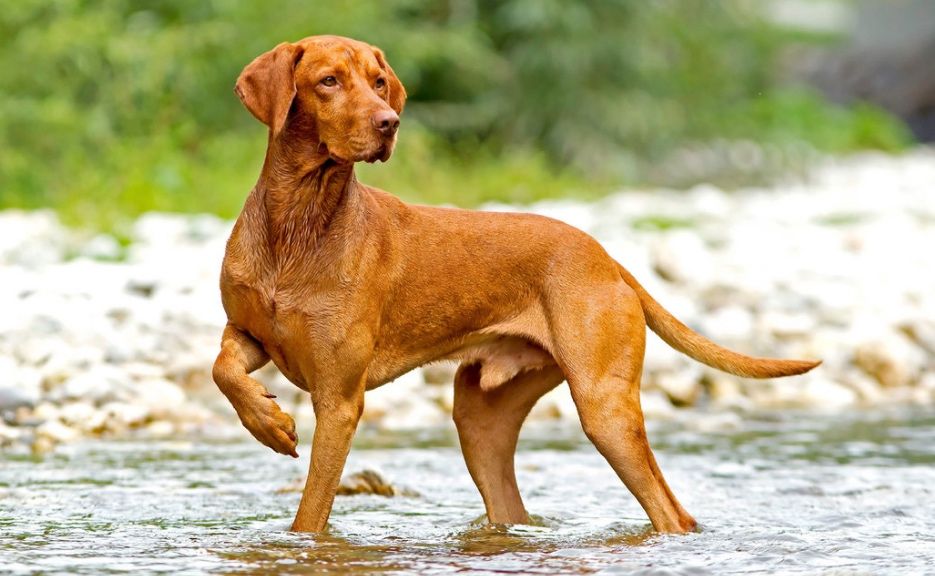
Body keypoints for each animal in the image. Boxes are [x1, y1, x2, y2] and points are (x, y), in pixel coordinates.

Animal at [214, 35, 820, 532]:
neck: (297, 224)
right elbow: (223, 370)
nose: (390, 122)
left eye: (379, 81)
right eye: (329, 81)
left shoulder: (339, 399)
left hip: (604, 408)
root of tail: (606, 257)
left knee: (673, 514)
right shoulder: (250, 333)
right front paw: (267, 422)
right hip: (481, 421)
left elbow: (310, 516)